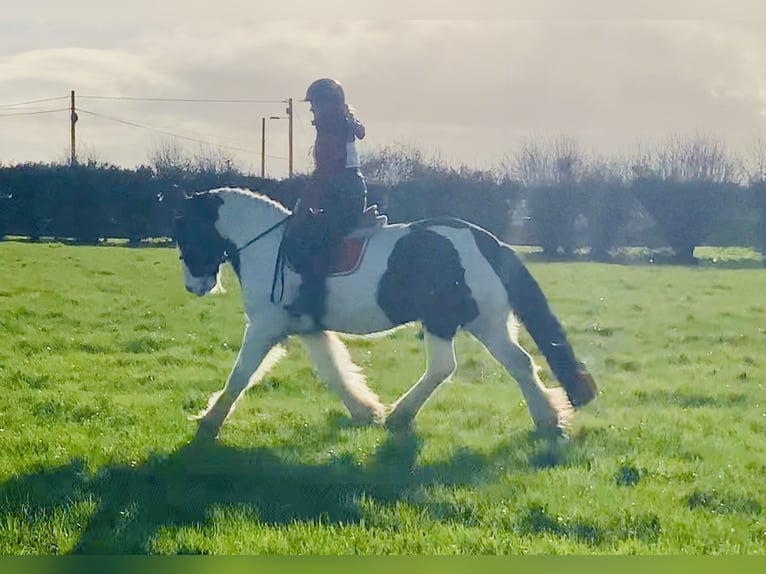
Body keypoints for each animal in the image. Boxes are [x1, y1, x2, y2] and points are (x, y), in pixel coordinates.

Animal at [172, 187, 597, 441]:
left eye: (186, 230)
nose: (194, 285)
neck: (267, 244)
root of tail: (487, 241)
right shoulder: (309, 329)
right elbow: (334, 371)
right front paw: (364, 411)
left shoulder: (265, 326)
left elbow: (241, 374)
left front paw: (210, 421)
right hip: (487, 322)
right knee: (520, 363)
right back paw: (548, 419)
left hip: (445, 320)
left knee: (444, 367)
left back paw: (401, 416)